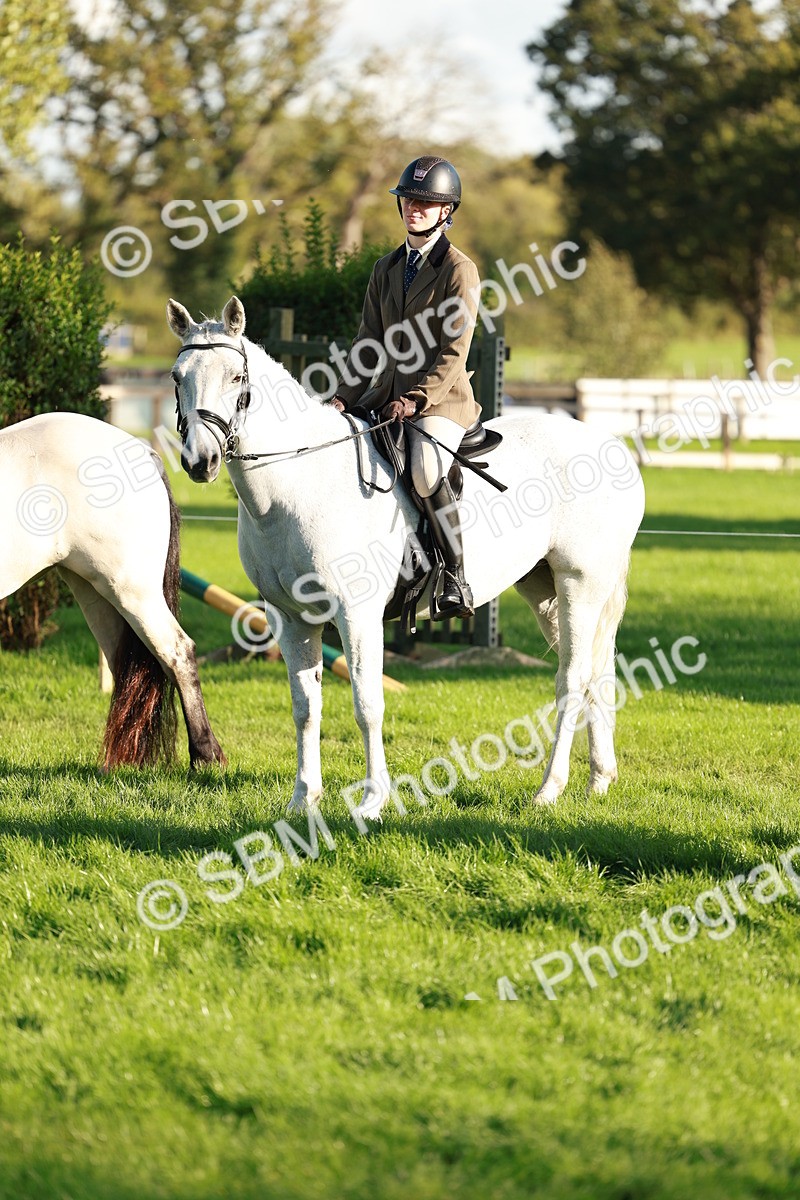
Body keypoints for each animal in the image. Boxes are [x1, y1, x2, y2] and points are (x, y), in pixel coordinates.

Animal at [168, 295, 645, 816]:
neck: (299, 483)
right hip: (544, 589)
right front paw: (303, 799)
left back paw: (549, 789)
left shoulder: (357, 614)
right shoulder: (292, 619)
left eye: (237, 377)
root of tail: (611, 445)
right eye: (177, 376)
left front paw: (373, 800)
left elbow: (367, 705)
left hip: (580, 584)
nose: (200, 461)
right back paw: (599, 779)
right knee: (595, 673)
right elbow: (305, 708)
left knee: (573, 680)